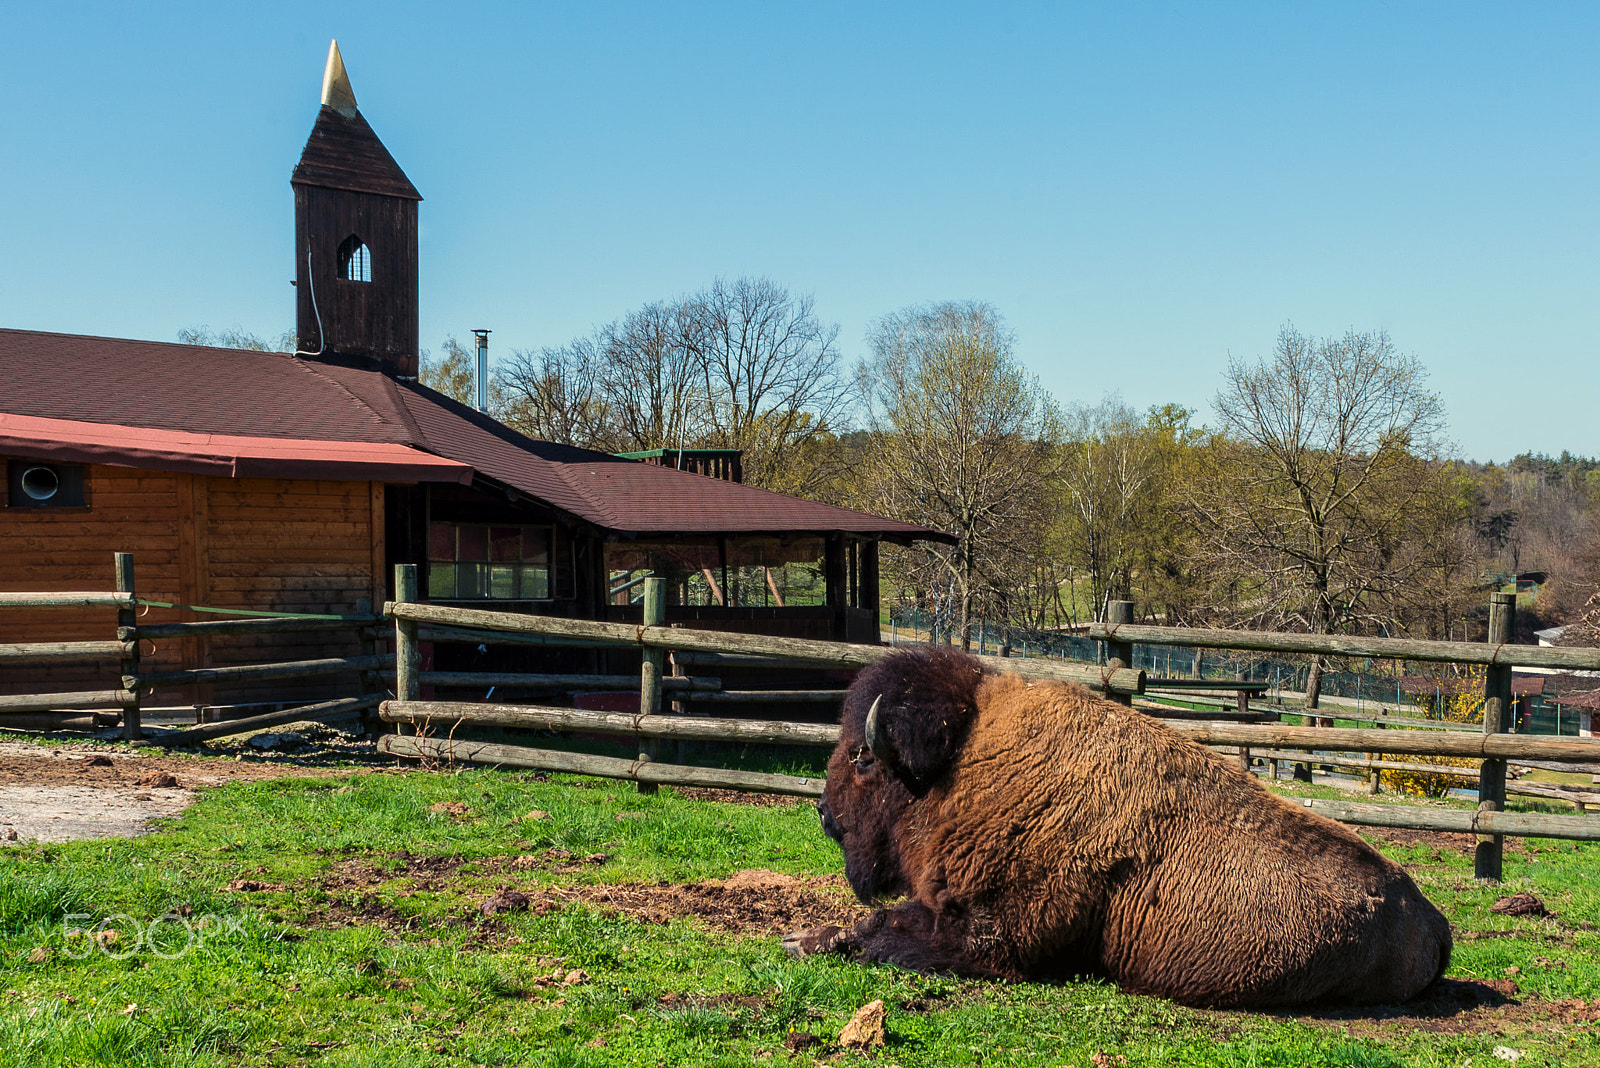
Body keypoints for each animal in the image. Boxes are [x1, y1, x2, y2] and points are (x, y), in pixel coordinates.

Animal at [780, 645, 1459, 1004]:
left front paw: (805, 940)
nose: (824, 813)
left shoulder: (993, 932)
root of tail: (1434, 919)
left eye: (862, 758)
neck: (962, 760)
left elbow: (882, 928)